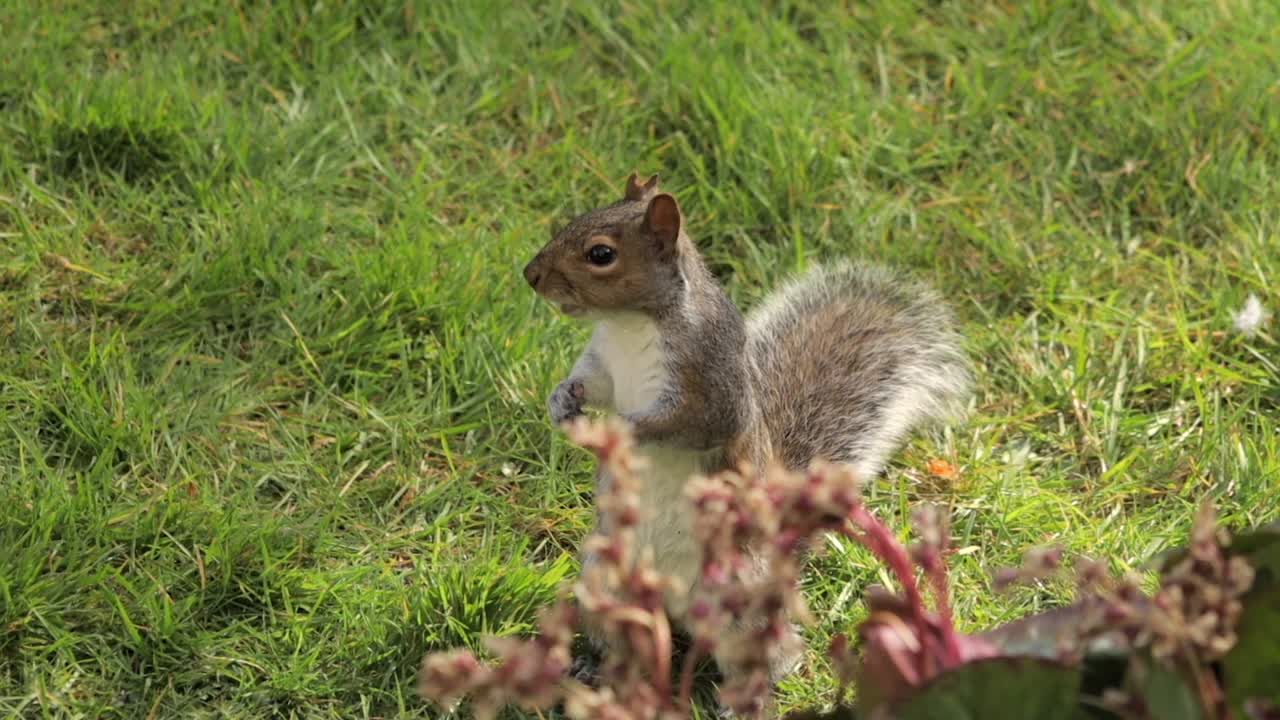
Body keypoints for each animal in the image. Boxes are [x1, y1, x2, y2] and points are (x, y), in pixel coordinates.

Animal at [522, 173, 972, 701]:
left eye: (600, 254)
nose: (530, 274)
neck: (631, 325)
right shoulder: (604, 364)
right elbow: (590, 383)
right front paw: (560, 401)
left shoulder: (711, 387)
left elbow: (686, 423)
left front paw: (618, 430)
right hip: (605, 582)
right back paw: (596, 668)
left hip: (739, 602)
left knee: (772, 654)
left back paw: (744, 696)